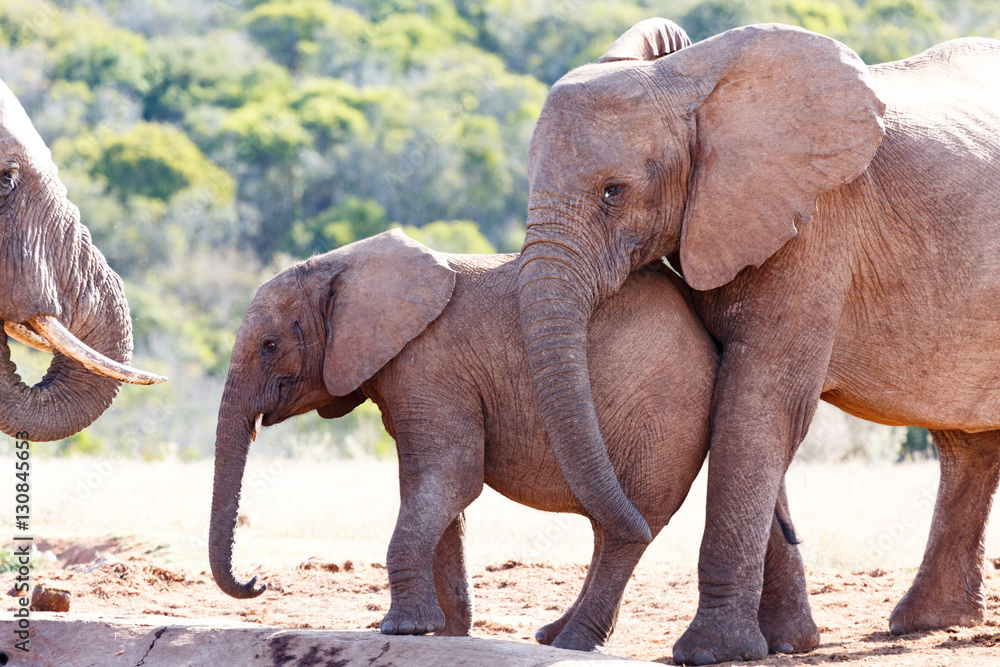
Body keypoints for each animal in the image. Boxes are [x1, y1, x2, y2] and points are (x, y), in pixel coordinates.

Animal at [207, 229, 814, 650]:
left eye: (269, 345)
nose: (259, 580)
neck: (344, 265)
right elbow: (435, 492)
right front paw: (445, 633)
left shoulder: (429, 367)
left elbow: (449, 479)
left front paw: (401, 630)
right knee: (612, 524)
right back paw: (554, 636)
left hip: (662, 415)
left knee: (630, 528)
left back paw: (575, 643)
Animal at [516, 17, 1000, 664]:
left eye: (613, 192)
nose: (548, 637)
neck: (691, 84)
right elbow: (750, 410)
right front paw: (785, 643)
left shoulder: (815, 221)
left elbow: (759, 404)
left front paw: (710, 653)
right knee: (965, 442)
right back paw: (927, 623)